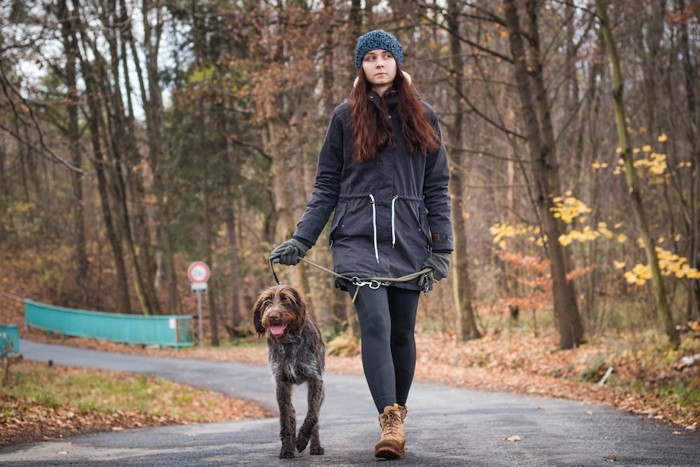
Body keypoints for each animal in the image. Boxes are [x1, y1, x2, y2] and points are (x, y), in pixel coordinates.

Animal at [253, 284, 326, 458]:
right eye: (266, 302)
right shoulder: (281, 383)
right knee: (291, 412)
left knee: (315, 418)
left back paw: (315, 446)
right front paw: (287, 448)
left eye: (286, 300)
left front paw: (302, 440)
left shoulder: (316, 380)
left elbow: (312, 414)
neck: (289, 341)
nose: (272, 316)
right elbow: (285, 417)